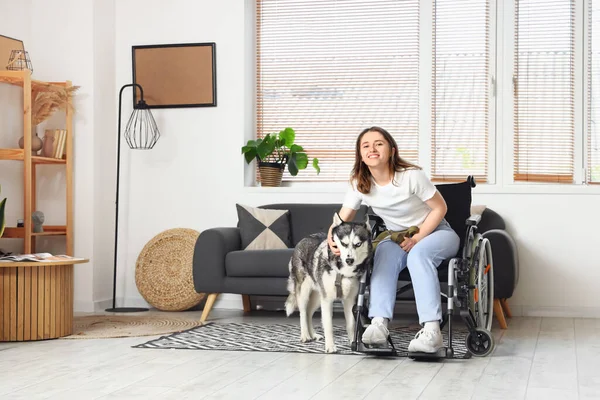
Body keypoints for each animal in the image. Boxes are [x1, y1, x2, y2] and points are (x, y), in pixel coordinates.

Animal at [284, 212, 372, 354]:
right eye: (343, 243)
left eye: (358, 244)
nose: (349, 260)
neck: (341, 272)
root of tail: (304, 239)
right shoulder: (327, 301)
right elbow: (328, 325)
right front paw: (330, 346)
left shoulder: (349, 300)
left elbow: (351, 324)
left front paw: (352, 343)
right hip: (304, 293)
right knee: (303, 312)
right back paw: (305, 335)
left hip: (317, 296)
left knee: (308, 313)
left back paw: (313, 334)